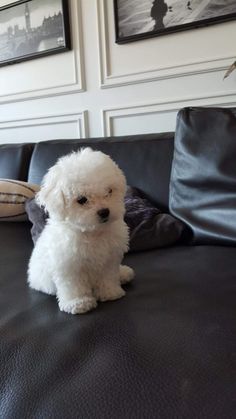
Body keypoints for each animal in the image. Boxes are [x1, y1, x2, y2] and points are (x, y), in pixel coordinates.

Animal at [27, 148, 135, 316]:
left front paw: (110, 292)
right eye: (82, 200)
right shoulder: (68, 264)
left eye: (109, 191)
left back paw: (123, 273)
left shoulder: (109, 259)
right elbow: (73, 285)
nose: (104, 212)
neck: (92, 233)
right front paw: (78, 303)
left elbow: (108, 276)